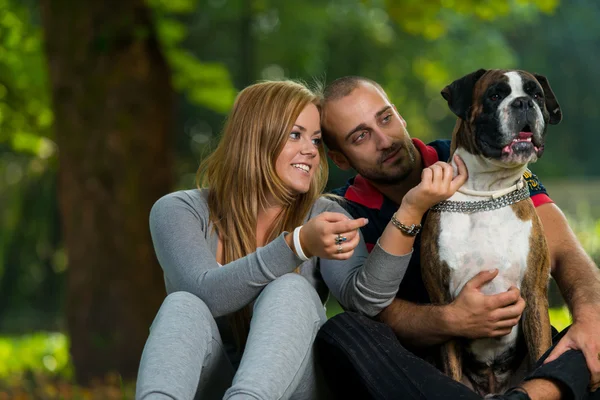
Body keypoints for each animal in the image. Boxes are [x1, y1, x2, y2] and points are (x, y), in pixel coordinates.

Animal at [420, 69, 560, 396]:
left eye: (536, 95)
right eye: (495, 95)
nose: (523, 103)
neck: (486, 194)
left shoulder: (534, 295)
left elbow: (541, 355)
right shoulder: (444, 306)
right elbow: (452, 366)